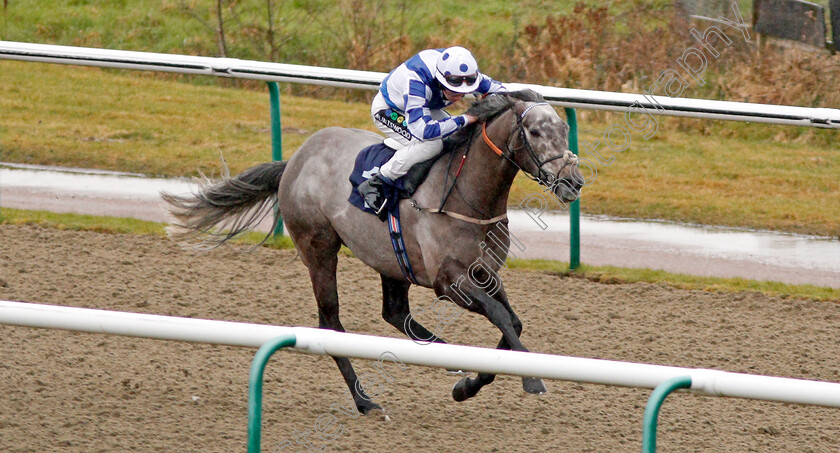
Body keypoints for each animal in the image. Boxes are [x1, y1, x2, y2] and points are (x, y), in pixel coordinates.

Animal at [164, 89, 584, 414]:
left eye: (564, 129)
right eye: (534, 131)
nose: (574, 181)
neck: (467, 195)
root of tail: (296, 159)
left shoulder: (483, 273)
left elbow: (512, 322)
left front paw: (469, 383)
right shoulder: (449, 281)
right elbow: (500, 316)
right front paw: (532, 381)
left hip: (391, 260)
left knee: (395, 313)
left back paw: (447, 362)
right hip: (318, 248)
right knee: (331, 324)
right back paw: (364, 400)